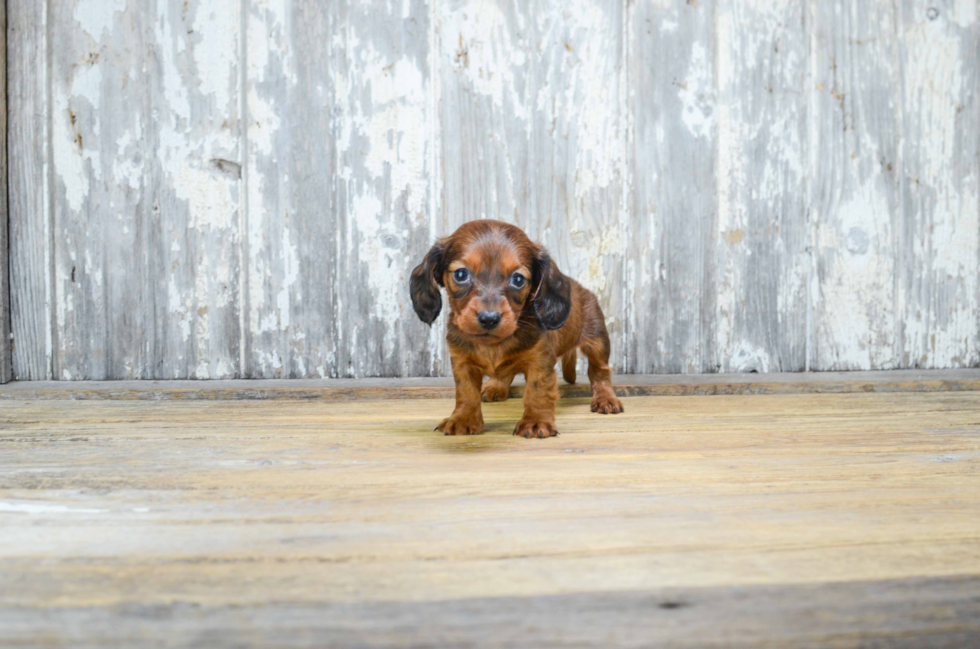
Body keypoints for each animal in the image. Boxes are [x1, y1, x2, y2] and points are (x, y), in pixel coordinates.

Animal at [410, 220, 624, 438]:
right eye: (461, 274)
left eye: (518, 279)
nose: (489, 319)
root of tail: (581, 288)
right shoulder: (462, 362)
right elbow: (466, 392)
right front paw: (463, 419)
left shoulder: (540, 362)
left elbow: (536, 391)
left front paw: (536, 422)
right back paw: (495, 386)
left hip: (597, 341)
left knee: (600, 371)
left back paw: (605, 398)